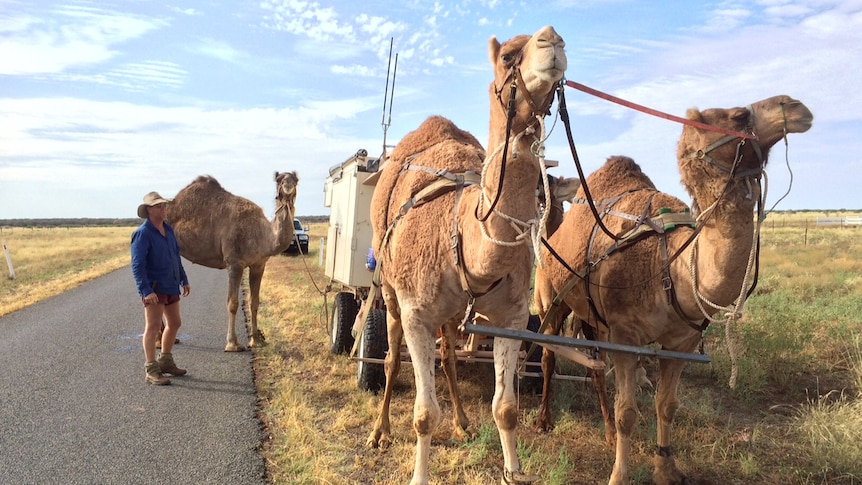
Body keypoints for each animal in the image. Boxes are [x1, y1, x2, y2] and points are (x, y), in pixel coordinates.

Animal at [167, 172, 298, 350]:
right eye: (279, 180)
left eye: (296, 179)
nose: (288, 185)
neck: (262, 235)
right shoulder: (235, 263)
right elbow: (233, 303)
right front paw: (232, 344)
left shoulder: (259, 265)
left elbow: (254, 302)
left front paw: (256, 340)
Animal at [370, 26, 568, 484]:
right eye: (509, 55)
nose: (553, 40)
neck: (463, 234)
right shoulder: (416, 312)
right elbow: (424, 414)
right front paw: (418, 475)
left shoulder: (512, 317)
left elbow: (506, 409)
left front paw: (513, 470)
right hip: (390, 292)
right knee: (389, 358)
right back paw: (379, 431)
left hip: (449, 313)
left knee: (448, 357)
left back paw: (462, 422)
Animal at [536, 95, 812, 484]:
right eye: (739, 115)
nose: (797, 106)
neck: (671, 266)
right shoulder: (625, 336)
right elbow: (628, 412)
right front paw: (619, 474)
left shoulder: (681, 342)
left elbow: (666, 405)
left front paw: (666, 468)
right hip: (549, 294)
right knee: (547, 353)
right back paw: (544, 420)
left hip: (592, 316)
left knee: (594, 364)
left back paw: (606, 433)